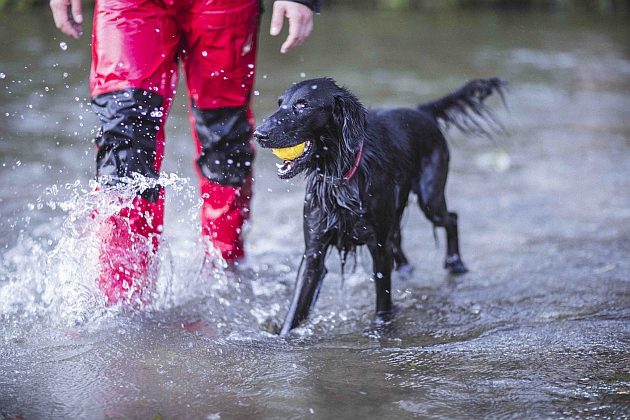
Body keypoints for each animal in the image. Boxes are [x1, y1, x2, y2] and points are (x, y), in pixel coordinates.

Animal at [254, 78, 506, 334]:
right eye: (280, 103)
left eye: (303, 105)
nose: (258, 134)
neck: (341, 177)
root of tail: (421, 111)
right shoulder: (313, 252)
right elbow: (295, 311)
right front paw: (282, 335)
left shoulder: (378, 247)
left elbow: (383, 303)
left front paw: (381, 331)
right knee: (400, 237)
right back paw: (406, 268)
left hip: (430, 200)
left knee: (451, 218)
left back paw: (455, 263)